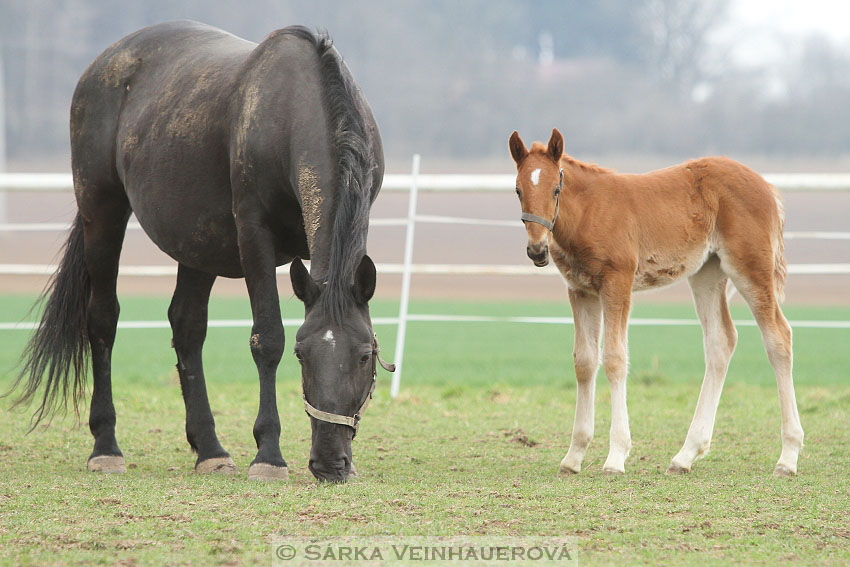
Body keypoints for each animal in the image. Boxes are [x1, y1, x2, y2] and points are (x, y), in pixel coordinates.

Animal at [9, 22, 390, 484]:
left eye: (366, 355)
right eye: (302, 353)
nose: (330, 464)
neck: (293, 106)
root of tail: (105, 62)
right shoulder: (254, 236)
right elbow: (268, 338)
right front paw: (269, 456)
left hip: (197, 244)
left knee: (187, 327)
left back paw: (210, 450)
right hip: (101, 210)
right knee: (102, 319)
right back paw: (106, 447)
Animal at [510, 127, 800, 474]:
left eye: (556, 188)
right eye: (517, 190)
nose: (537, 250)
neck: (589, 212)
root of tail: (767, 186)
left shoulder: (617, 283)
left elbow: (615, 359)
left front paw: (616, 457)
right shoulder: (580, 291)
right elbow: (584, 361)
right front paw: (573, 456)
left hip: (750, 268)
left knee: (778, 337)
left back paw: (788, 457)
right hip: (707, 273)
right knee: (721, 342)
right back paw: (685, 455)